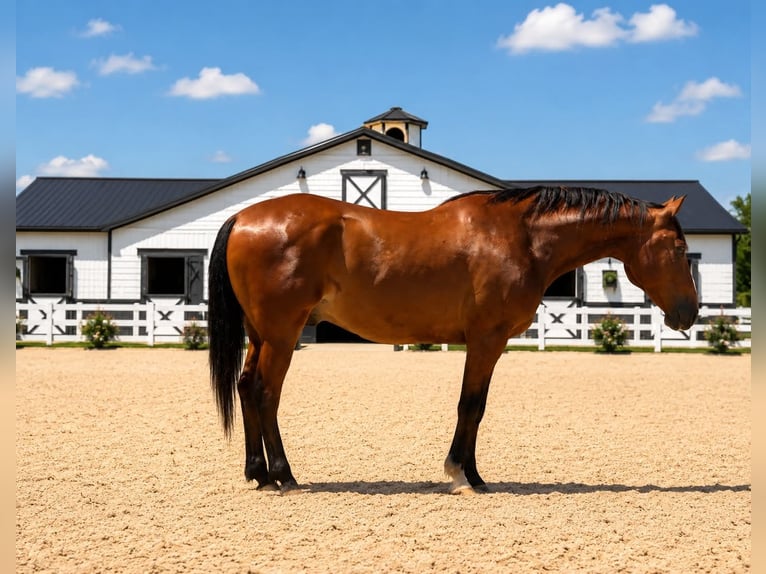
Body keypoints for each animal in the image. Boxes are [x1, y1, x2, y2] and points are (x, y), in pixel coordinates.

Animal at [207, 185, 698, 494]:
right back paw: (284, 476)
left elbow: (474, 407)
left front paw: (467, 472)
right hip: (282, 335)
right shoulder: (486, 341)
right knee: (266, 394)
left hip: (261, 335)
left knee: (247, 389)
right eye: (678, 250)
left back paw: (258, 474)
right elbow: (472, 406)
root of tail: (242, 216)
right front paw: (467, 476)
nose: (689, 313)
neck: (521, 237)